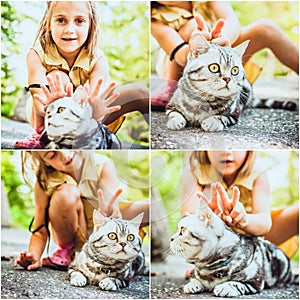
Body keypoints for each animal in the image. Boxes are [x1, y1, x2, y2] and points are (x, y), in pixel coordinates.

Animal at [168, 33, 296, 131]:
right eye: (214, 67)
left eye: (235, 70)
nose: (227, 79)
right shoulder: (171, 105)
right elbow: (174, 113)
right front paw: (175, 121)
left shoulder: (235, 114)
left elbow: (222, 117)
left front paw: (212, 122)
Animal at [170, 200, 298, 296]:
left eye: (182, 230)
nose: (171, 238)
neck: (210, 268)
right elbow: (194, 278)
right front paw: (192, 284)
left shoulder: (256, 281)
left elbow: (237, 284)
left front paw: (224, 287)